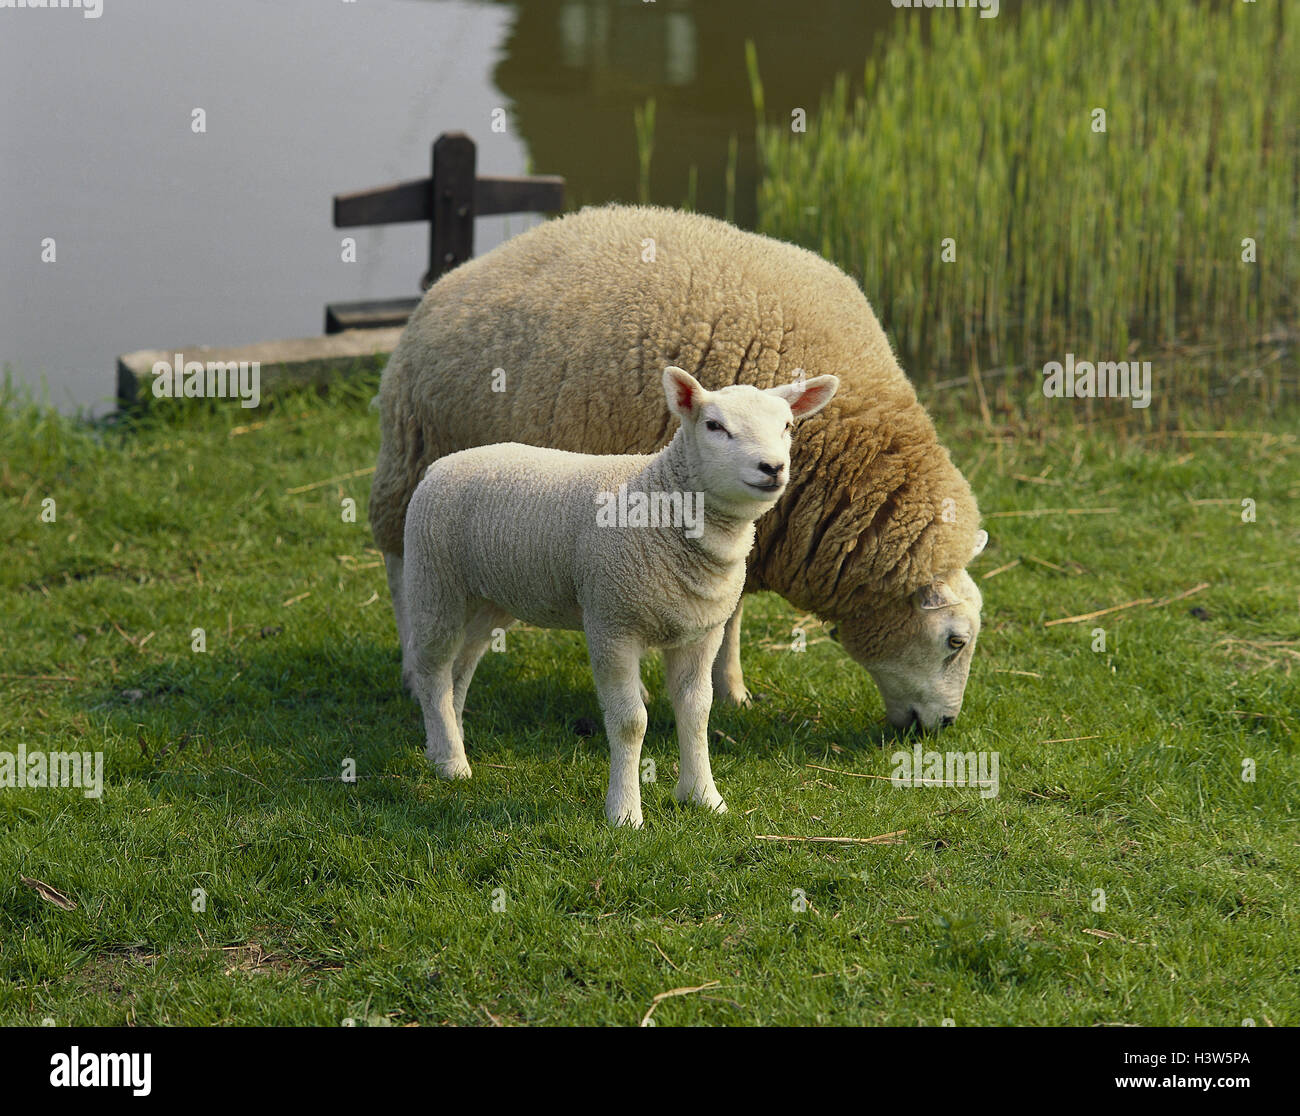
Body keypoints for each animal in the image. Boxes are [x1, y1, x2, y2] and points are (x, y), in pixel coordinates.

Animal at [372, 204, 987, 731]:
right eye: (955, 641)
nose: (942, 727)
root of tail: (456, 277)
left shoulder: (745, 536)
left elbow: (729, 614)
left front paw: (731, 690)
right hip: (412, 456)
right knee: (400, 563)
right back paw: (411, 667)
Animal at [401, 365, 838, 827]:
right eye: (714, 426)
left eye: (787, 426)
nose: (772, 467)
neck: (665, 507)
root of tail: (441, 465)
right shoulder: (613, 625)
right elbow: (630, 722)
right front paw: (625, 813)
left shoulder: (700, 632)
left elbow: (697, 712)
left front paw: (703, 797)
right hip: (435, 581)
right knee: (432, 669)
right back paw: (449, 762)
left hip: (489, 600)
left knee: (460, 668)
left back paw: (450, 738)